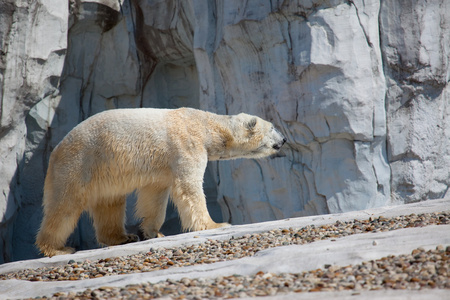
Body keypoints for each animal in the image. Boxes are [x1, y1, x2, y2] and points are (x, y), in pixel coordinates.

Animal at [37, 106, 286, 256]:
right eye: (272, 127)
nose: (284, 139)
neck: (206, 126)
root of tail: (56, 149)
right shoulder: (187, 145)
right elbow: (189, 187)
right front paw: (217, 224)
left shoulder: (161, 166)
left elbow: (155, 195)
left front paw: (153, 232)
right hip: (79, 164)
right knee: (65, 206)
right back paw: (57, 248)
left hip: (103, 171)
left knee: (110, 203)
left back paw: (122, 236)